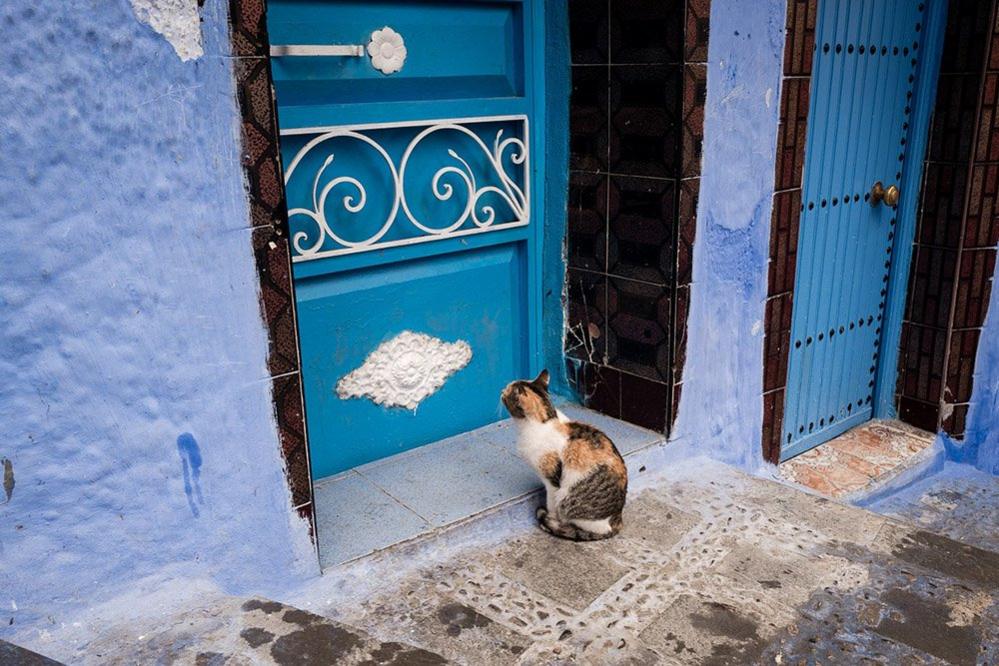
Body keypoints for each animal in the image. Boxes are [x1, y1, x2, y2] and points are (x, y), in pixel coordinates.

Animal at [504, 368, 628, 540]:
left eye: (505, 392)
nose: (501, 391)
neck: (547, 419)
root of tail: (617, 521)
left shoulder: (552, 481)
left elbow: (550, 503)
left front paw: (550, 517)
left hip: (566, 499)